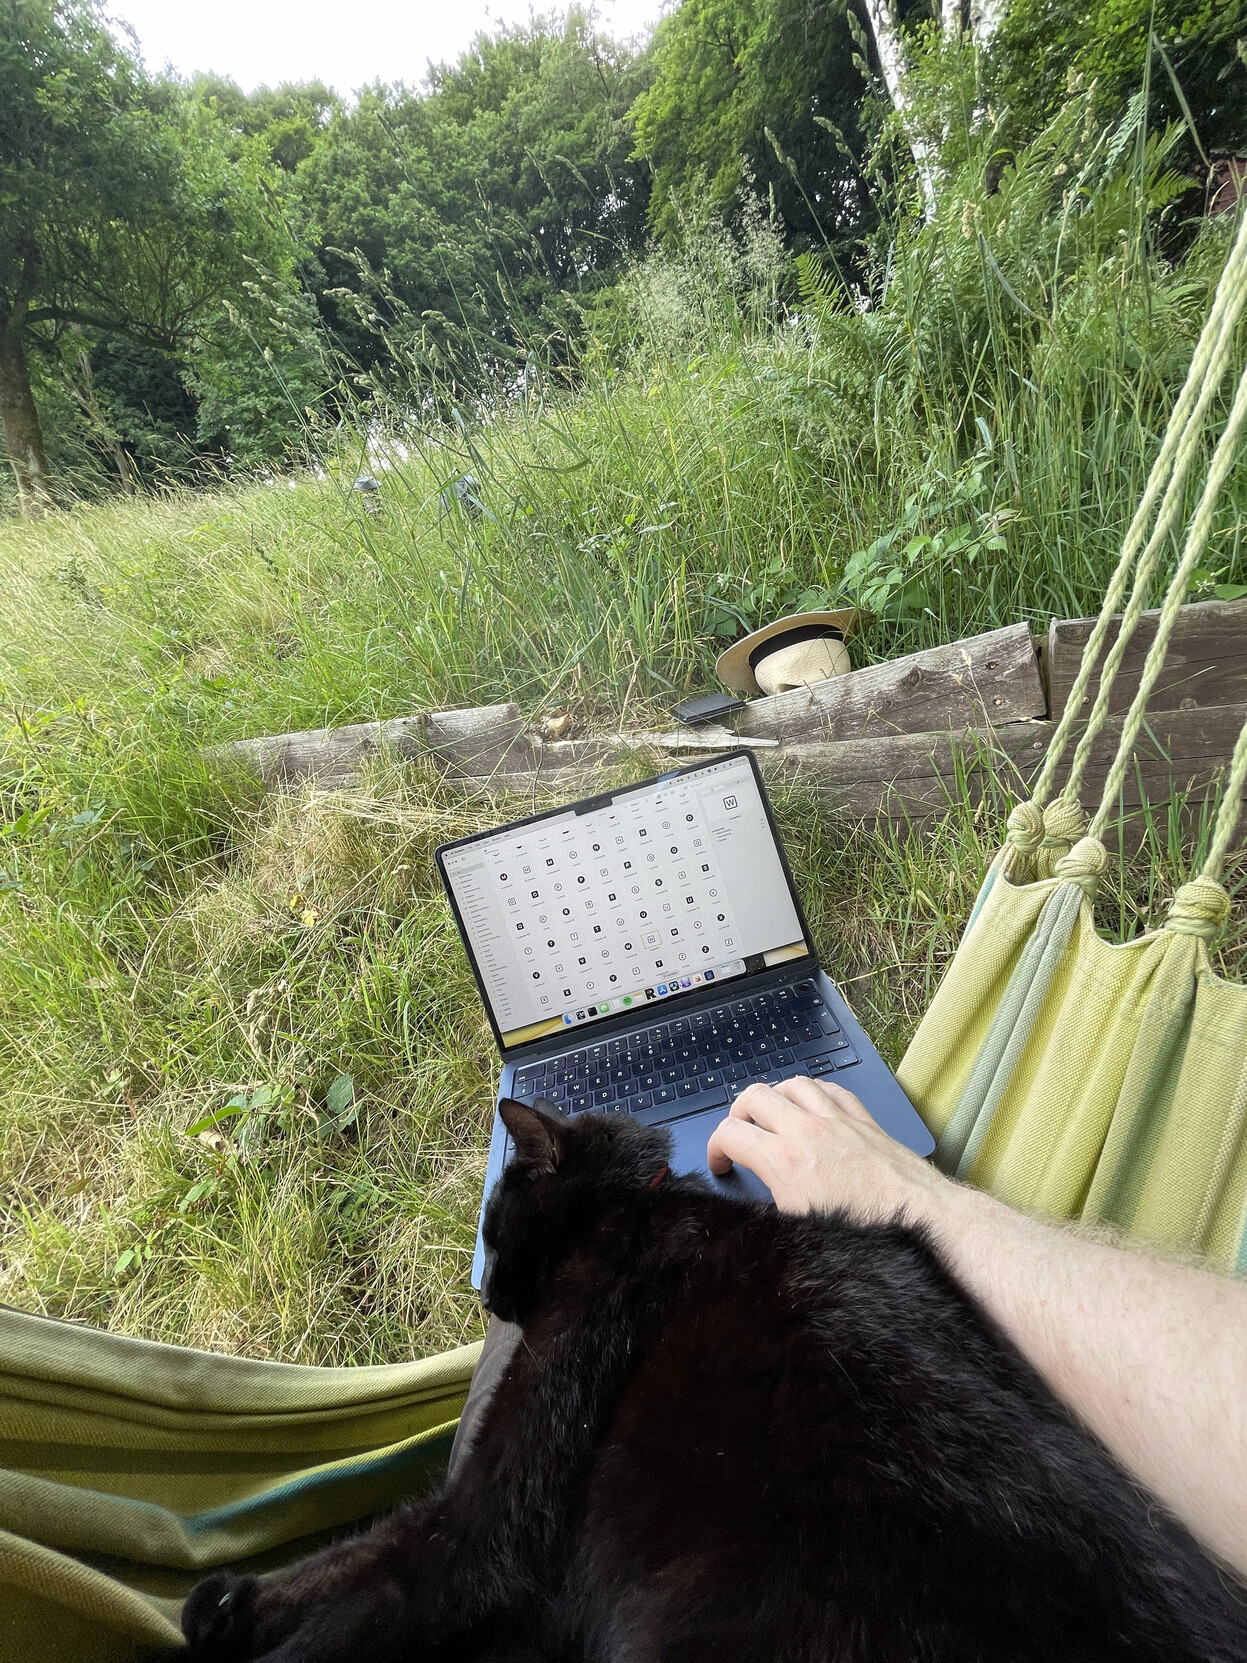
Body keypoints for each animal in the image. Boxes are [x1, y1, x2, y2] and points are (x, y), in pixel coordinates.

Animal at [180, 1097, 1247, 1656]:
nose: (486, 1297)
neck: (642, 1211)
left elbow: (381, 1561)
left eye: (491, 1220)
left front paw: (237, 1609)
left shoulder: (493, 1513)